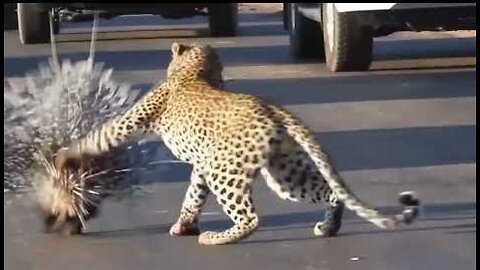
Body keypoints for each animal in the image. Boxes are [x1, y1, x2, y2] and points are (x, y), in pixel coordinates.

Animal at [56, 41, 422, 245]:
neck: (196, 73)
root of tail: (272, 108)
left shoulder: (135, 121)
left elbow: (102, 134)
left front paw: (64, 155)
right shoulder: (202, 165)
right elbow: (193, 196)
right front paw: (184, 225)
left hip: (227, 172)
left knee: (250, 219)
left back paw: (216, 239)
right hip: (284, 172)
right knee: (330, 192)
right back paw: (327, 228)